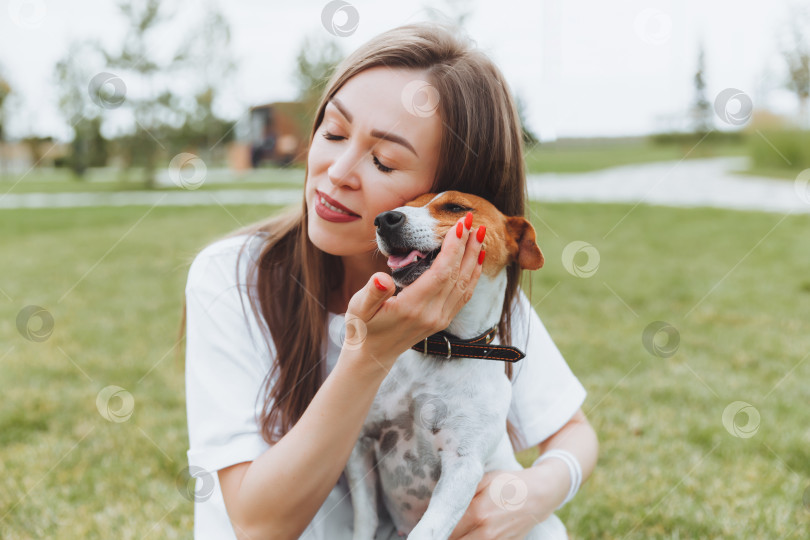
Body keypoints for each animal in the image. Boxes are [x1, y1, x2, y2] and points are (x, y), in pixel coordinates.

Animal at [342, 191, 560, 540]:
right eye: (407, 203)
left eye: (456, 207)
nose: (385, 218)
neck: (440, 347)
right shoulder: (362, 443)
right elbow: (365, 519)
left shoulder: (462, 465)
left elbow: (425, 532)